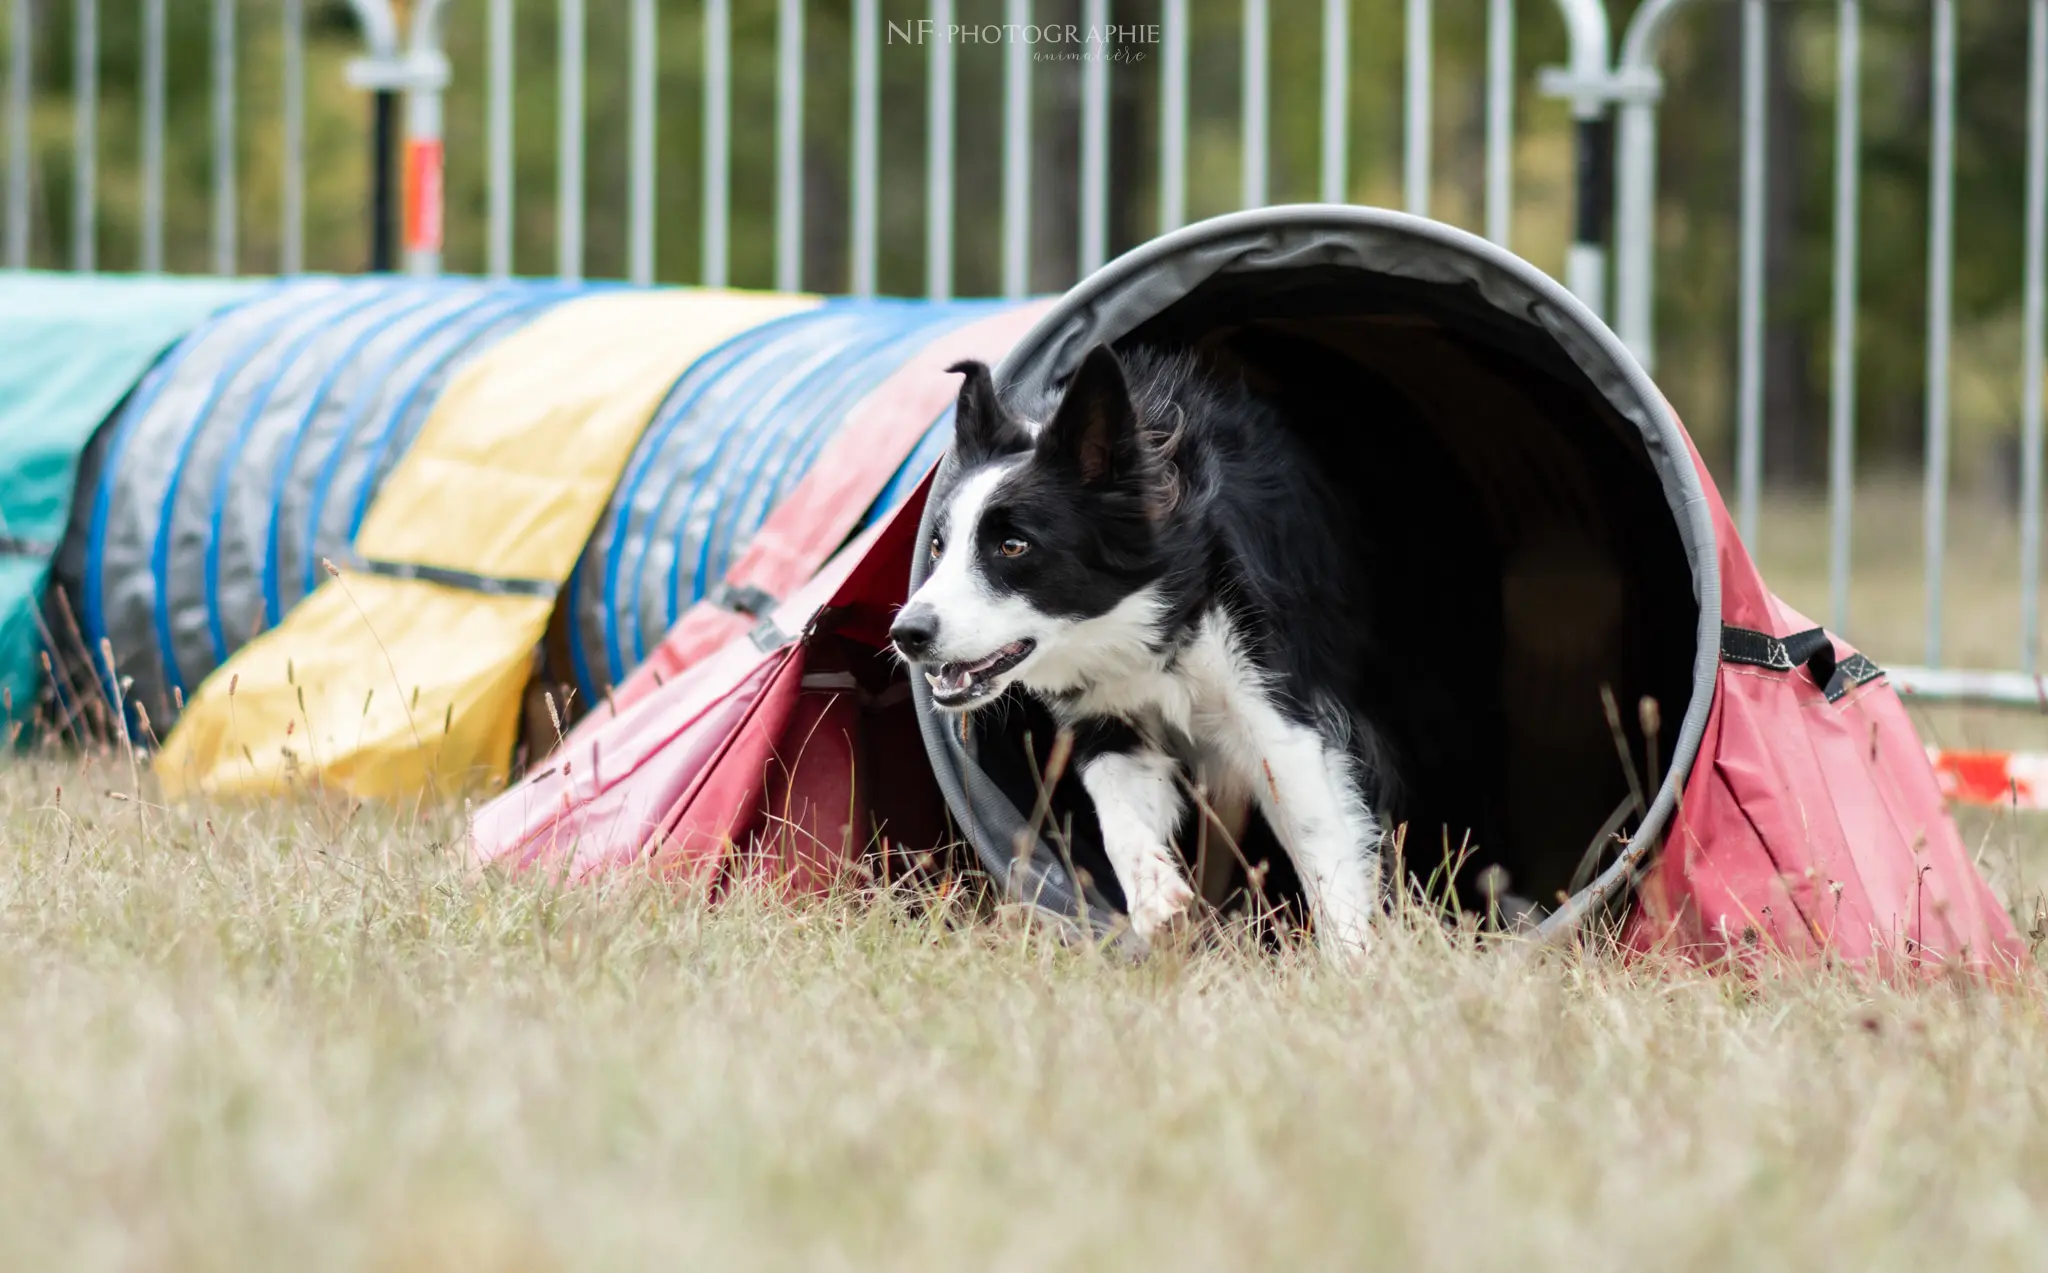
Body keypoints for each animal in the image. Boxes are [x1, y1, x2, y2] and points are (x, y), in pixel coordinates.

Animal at [888, 343, 1400, 953]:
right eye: (937, 547)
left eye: (1013, 545)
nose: (906, 634)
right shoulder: (1106, 720)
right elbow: (1117, 813)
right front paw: (1155, 895)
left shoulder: (1278, 718)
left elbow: (1320, 843)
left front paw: (1352, 960)